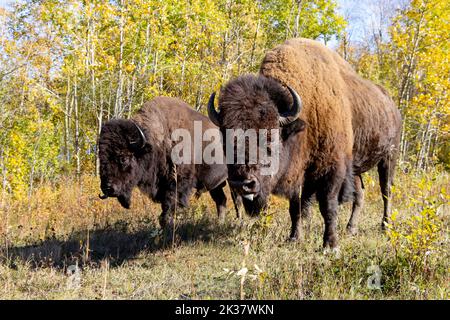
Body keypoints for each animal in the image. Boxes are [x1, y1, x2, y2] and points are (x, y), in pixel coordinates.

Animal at [98, 96, 236, 226]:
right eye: (101, 158)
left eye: (124, 158)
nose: (108, 188)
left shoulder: (177, 184)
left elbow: (169, 209)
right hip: (216, 185)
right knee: (221, 201)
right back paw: (220, 223)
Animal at [207, 38, 400, 250]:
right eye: (226, 140)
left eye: (270, 138)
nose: (242, 184)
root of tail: (391, 104)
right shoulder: (298, 172)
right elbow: (296, 206)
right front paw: (294, 237)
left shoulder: (332, 168)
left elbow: (328, 206)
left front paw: (330, 245)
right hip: (356, 167)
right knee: (360, 194)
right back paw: (351, 228)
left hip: (389, 157)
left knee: (386, 191)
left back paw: (385, 226)